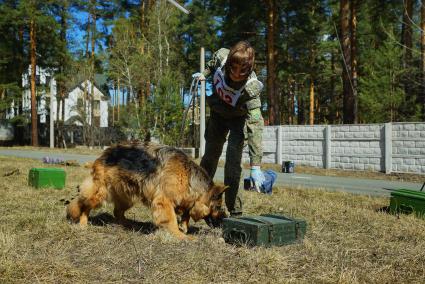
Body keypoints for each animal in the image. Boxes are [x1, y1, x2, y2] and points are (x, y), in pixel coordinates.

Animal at [66, 143, 227, 239]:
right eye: (218, 207)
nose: (223, 220)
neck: (188, 175)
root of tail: (105, 153)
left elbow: (186, 212)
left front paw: (184, 227)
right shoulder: (164, 201)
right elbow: (172, 219)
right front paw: (180, 235)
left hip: (127, 196)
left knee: (117, 212)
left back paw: (128, 225)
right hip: (100, 193)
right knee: (84, 205)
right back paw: (83, 224)